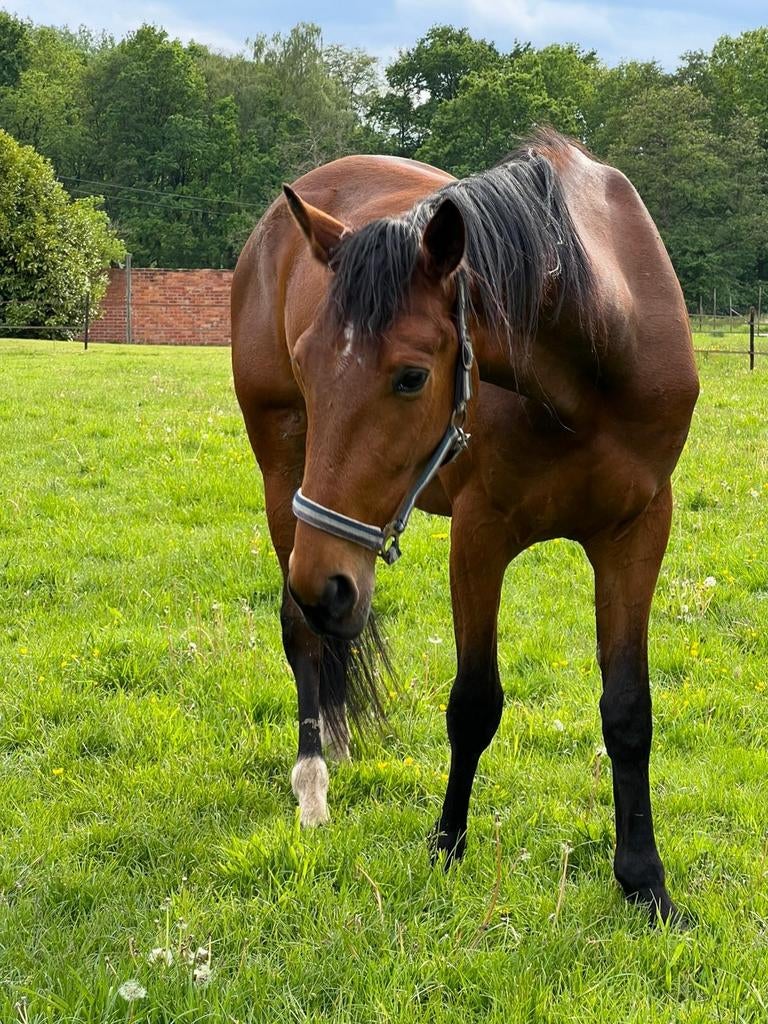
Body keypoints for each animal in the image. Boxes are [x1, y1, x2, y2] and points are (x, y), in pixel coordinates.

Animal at [231, 129, 699, 924]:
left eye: (412, 376)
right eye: (307, 363)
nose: (328, 585)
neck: (600, 350)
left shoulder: (638, 532)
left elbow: (629, 708)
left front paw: (644, 881)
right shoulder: (480, 538)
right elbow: (475, 702)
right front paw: (446, 845)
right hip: (283, 481)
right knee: (302, 638)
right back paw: (313, 785)